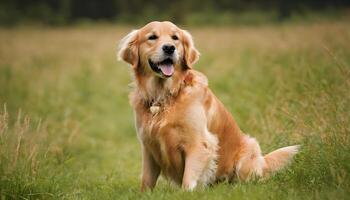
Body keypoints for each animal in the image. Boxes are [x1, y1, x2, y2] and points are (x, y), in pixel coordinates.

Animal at [117, 21, 298, 191]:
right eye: (152, 37)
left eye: (175, 38)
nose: (169, 48)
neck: (164, 95)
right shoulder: (148, 146)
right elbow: (146, 181)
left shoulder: (200, 143)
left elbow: (188, 180)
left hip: (249, 149)